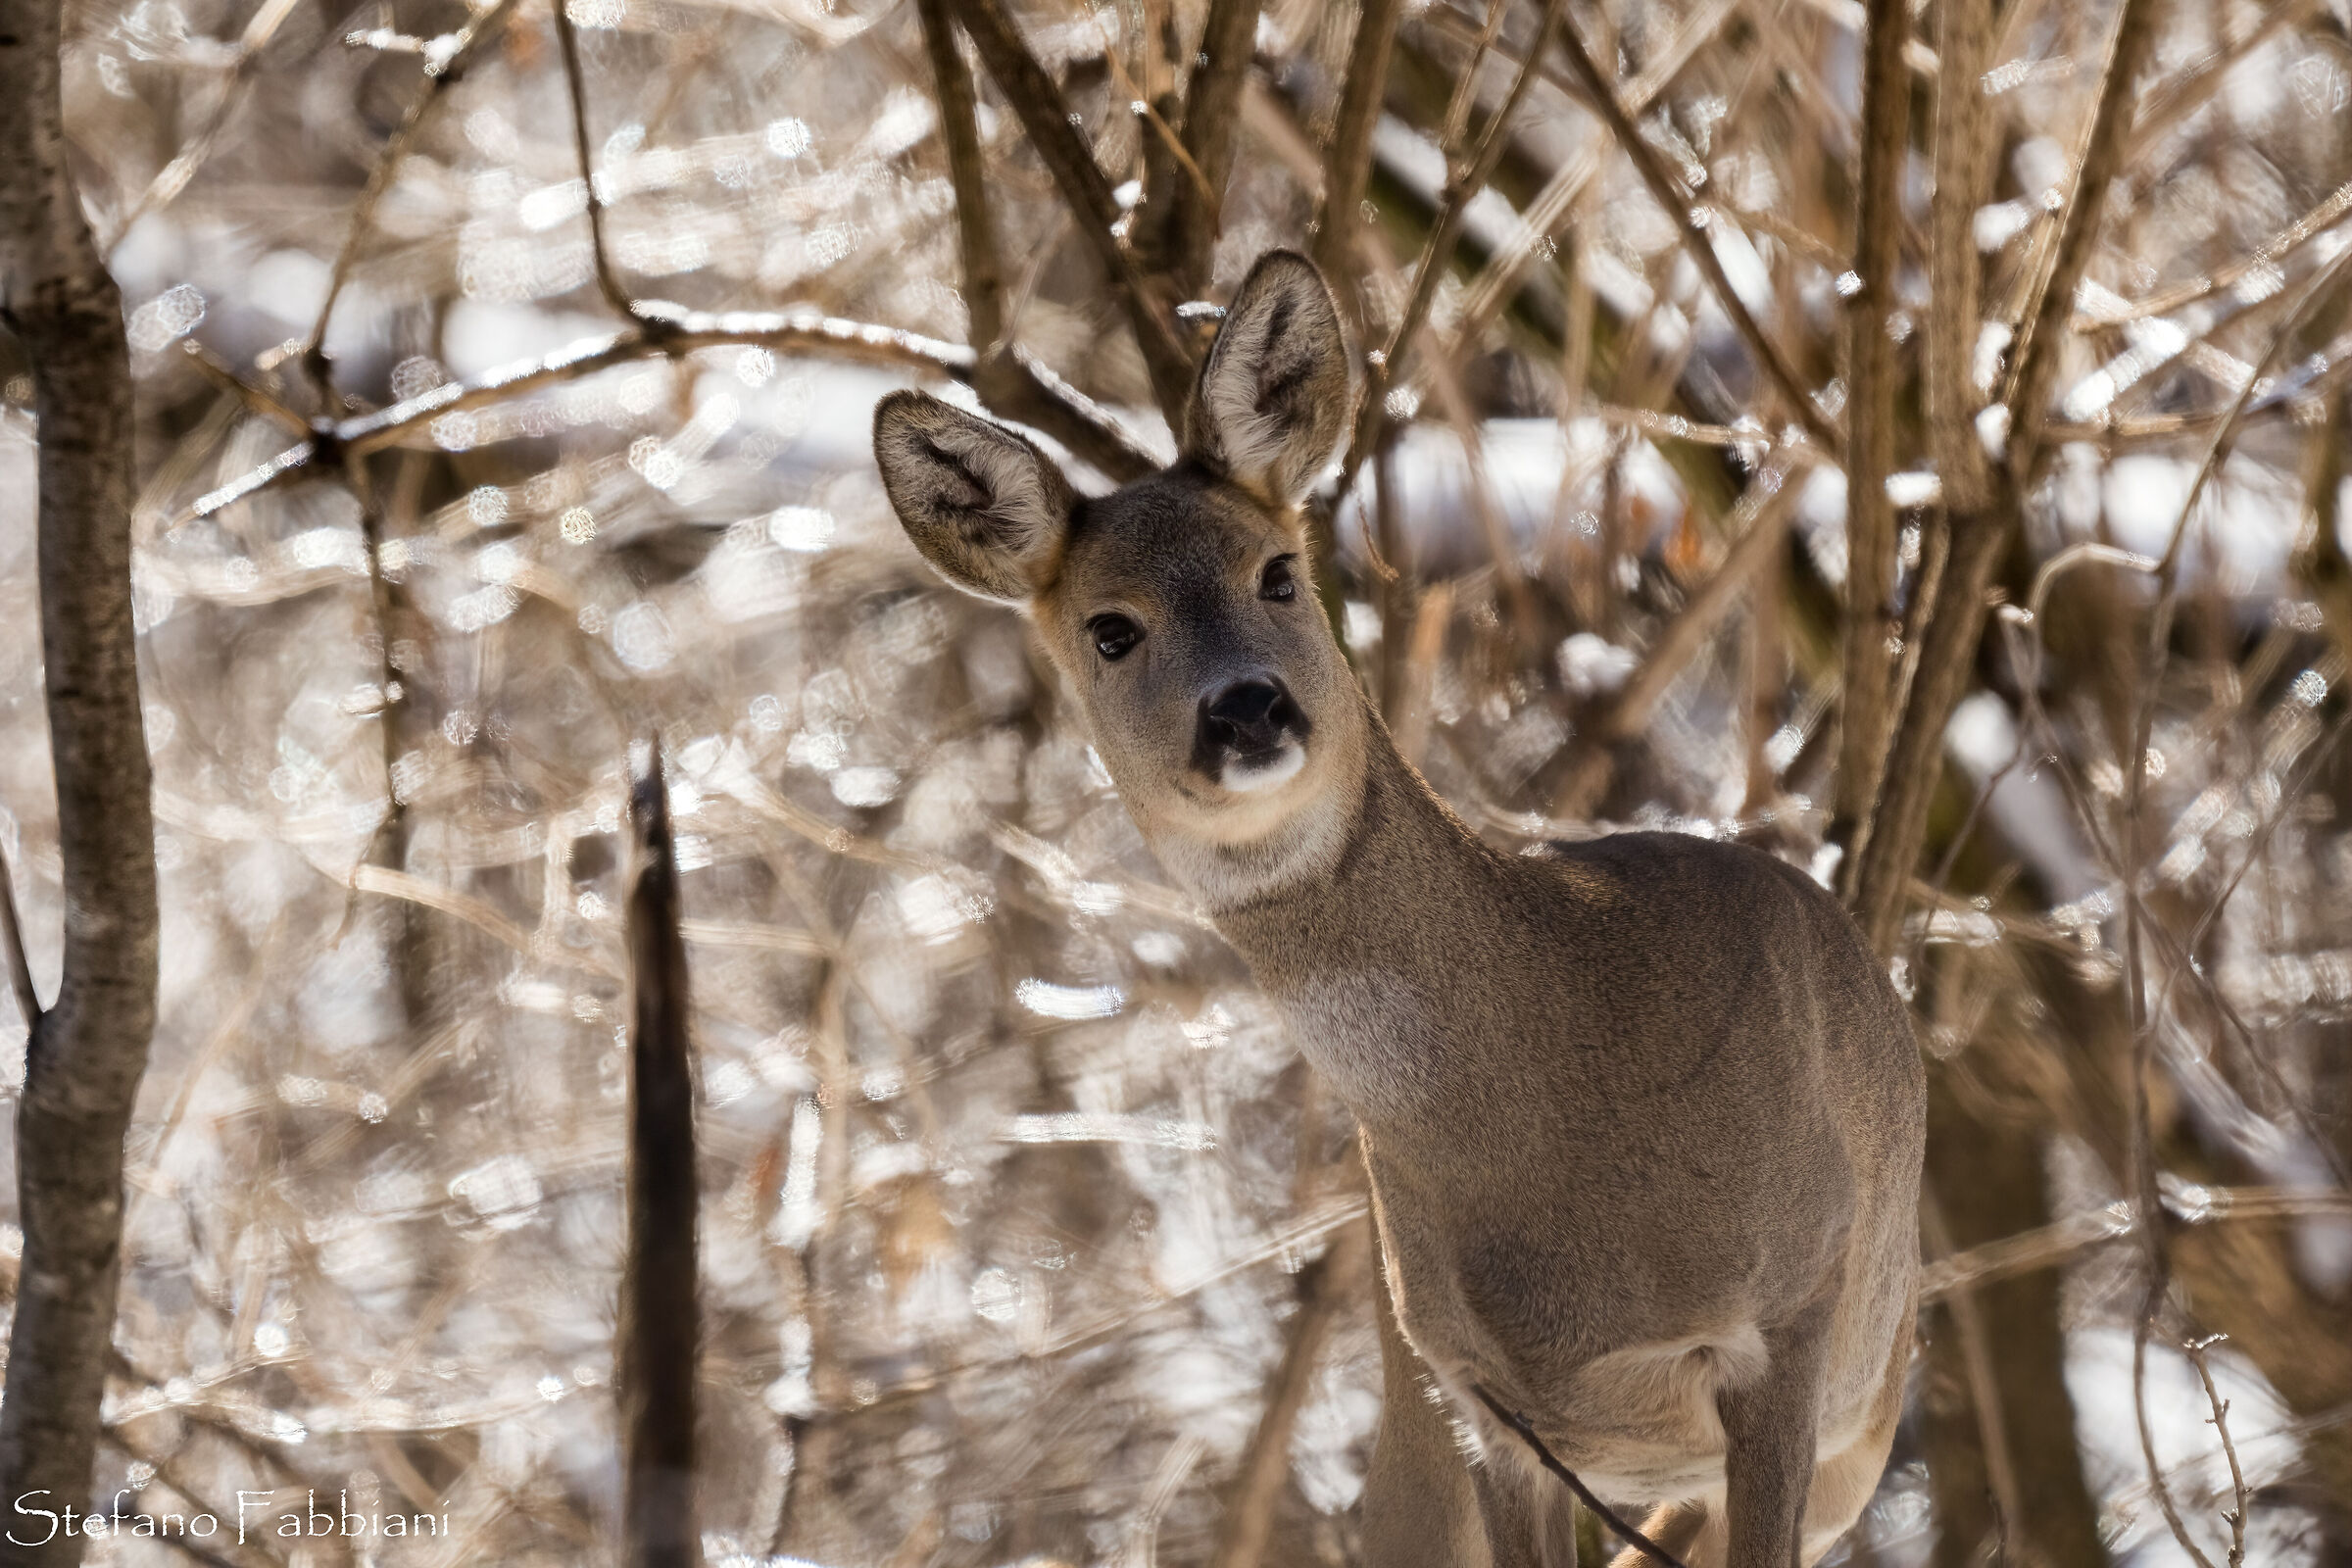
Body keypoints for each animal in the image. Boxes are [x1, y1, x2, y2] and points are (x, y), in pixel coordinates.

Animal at [873, 251, 1925, 1568]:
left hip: (1859, 1420)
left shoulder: (1793, 1301)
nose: (1248, 708)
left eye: (1277, 572)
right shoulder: (1484, 1405)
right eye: (1111, 629)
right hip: (1418, 1426)